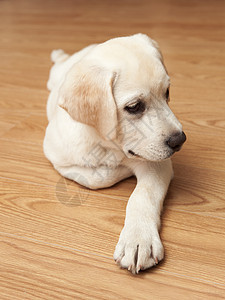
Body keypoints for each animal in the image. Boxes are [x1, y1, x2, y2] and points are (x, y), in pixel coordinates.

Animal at [43, 33, 185, 274]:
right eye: (134, 106)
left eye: (167, 93)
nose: (179, 141)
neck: (108, 144)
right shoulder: (56, 155)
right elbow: (97, 178)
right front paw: (117, 169)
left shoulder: (159, 163)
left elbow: (142, 195)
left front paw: (138, 239)